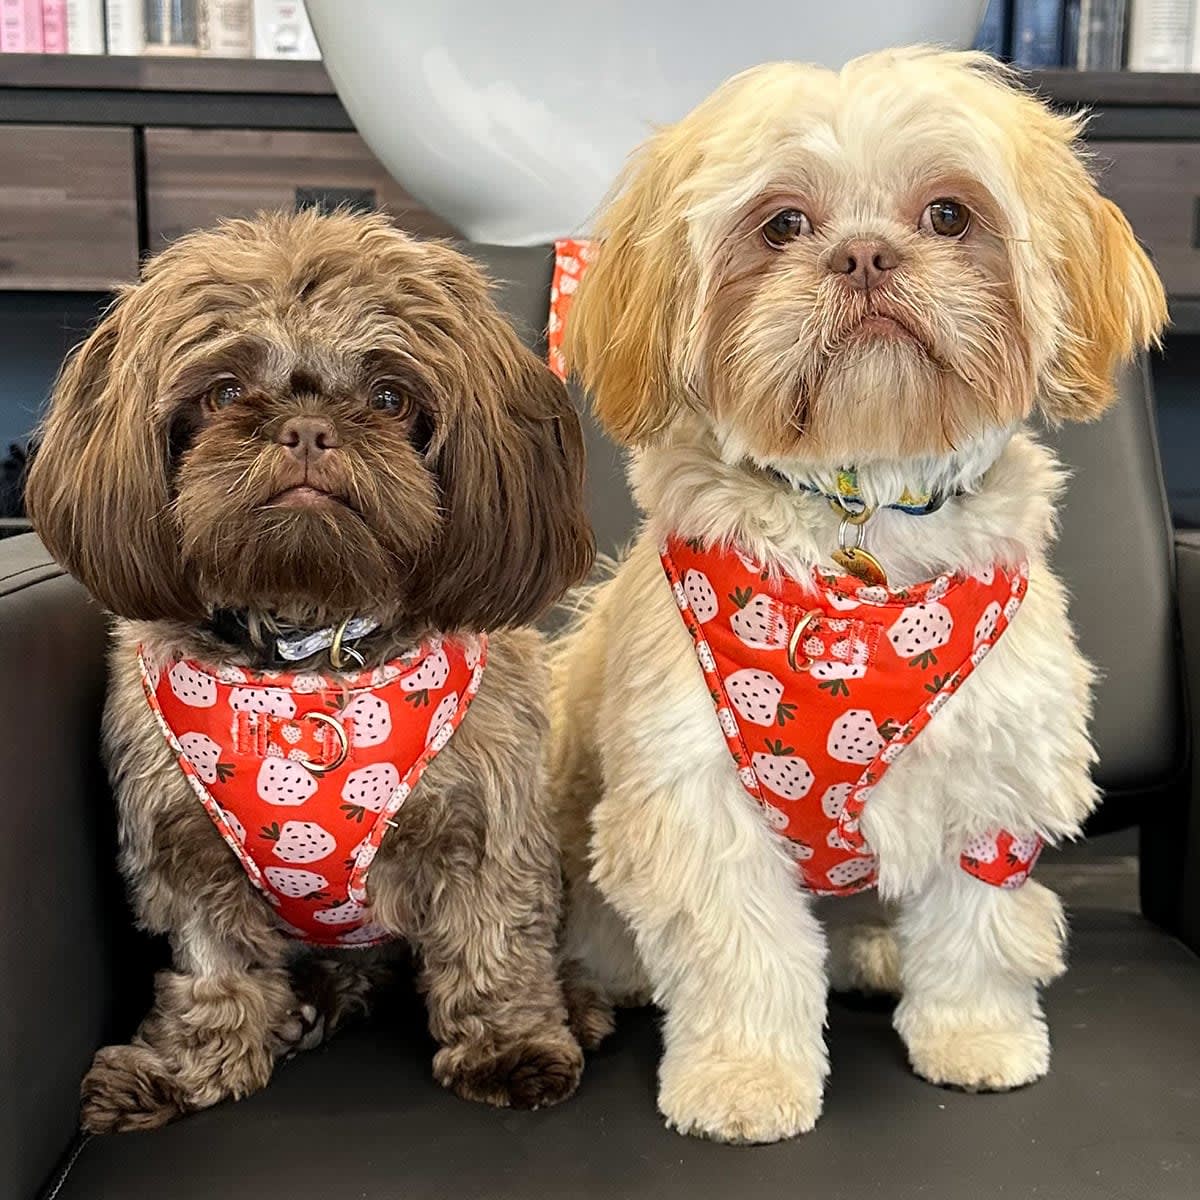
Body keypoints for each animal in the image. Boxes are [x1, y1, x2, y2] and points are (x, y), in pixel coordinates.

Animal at [25, 208, 592, 1132]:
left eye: (391, 398)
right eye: (222, 392)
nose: (306, 429)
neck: (307, 650)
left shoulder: (489, 830)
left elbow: (494, 944)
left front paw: (510, 1046)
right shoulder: (185, 851)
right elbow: (213, 971)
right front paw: (188, 1070)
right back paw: (309, 1004)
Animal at [549, 51, 1161, 1147]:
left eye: (950, 214)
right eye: (782, 224)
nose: (866, 255)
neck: (860, 516)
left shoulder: (991, 783)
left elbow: (973, 934)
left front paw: (976, 1038)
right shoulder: (696, 801)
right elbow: (743, 956)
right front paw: (745, 1079)